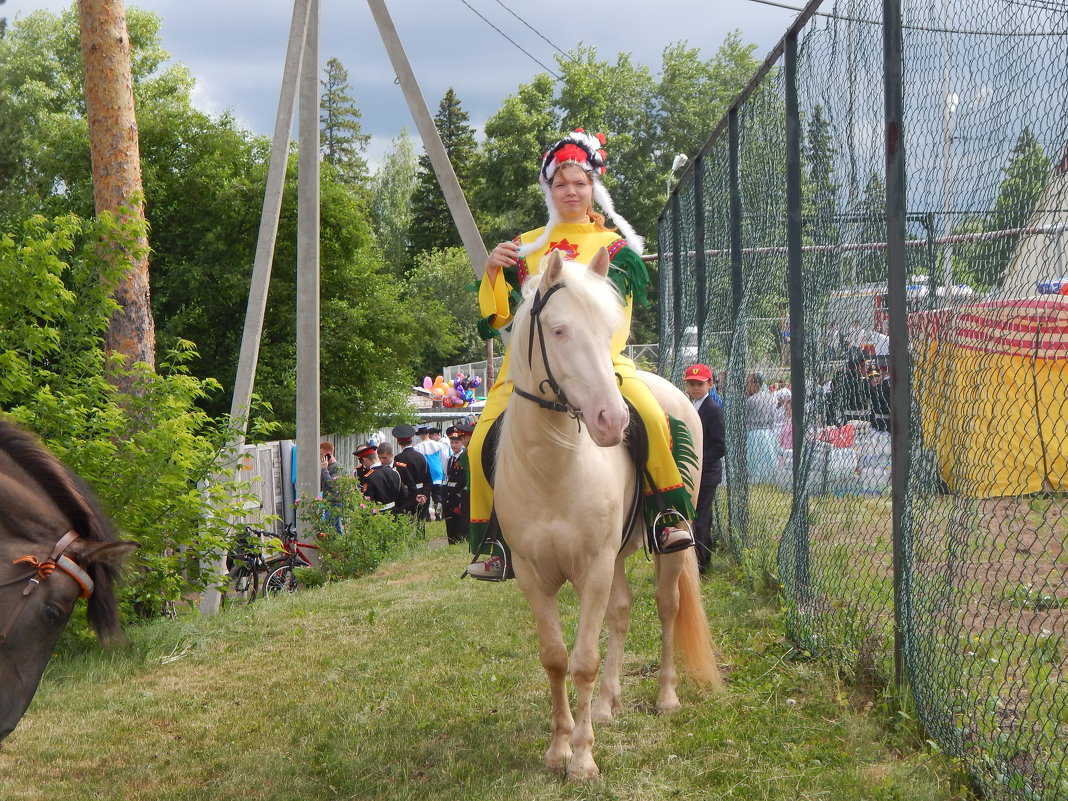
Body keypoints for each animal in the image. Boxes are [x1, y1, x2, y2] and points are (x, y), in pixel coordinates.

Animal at [493, 247, 726, 781]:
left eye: (609, 330)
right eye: (559, 330)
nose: (612, 420)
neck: (552, 468)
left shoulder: (593, 569)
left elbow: (583, 660)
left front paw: (581, 758)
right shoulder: (534, 575)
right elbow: (555, 659)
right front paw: (558, 748)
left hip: (669, 543)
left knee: (666, 605)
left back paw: (665, 696)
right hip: (617, 554)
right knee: (621, 611)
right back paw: (605, 706)